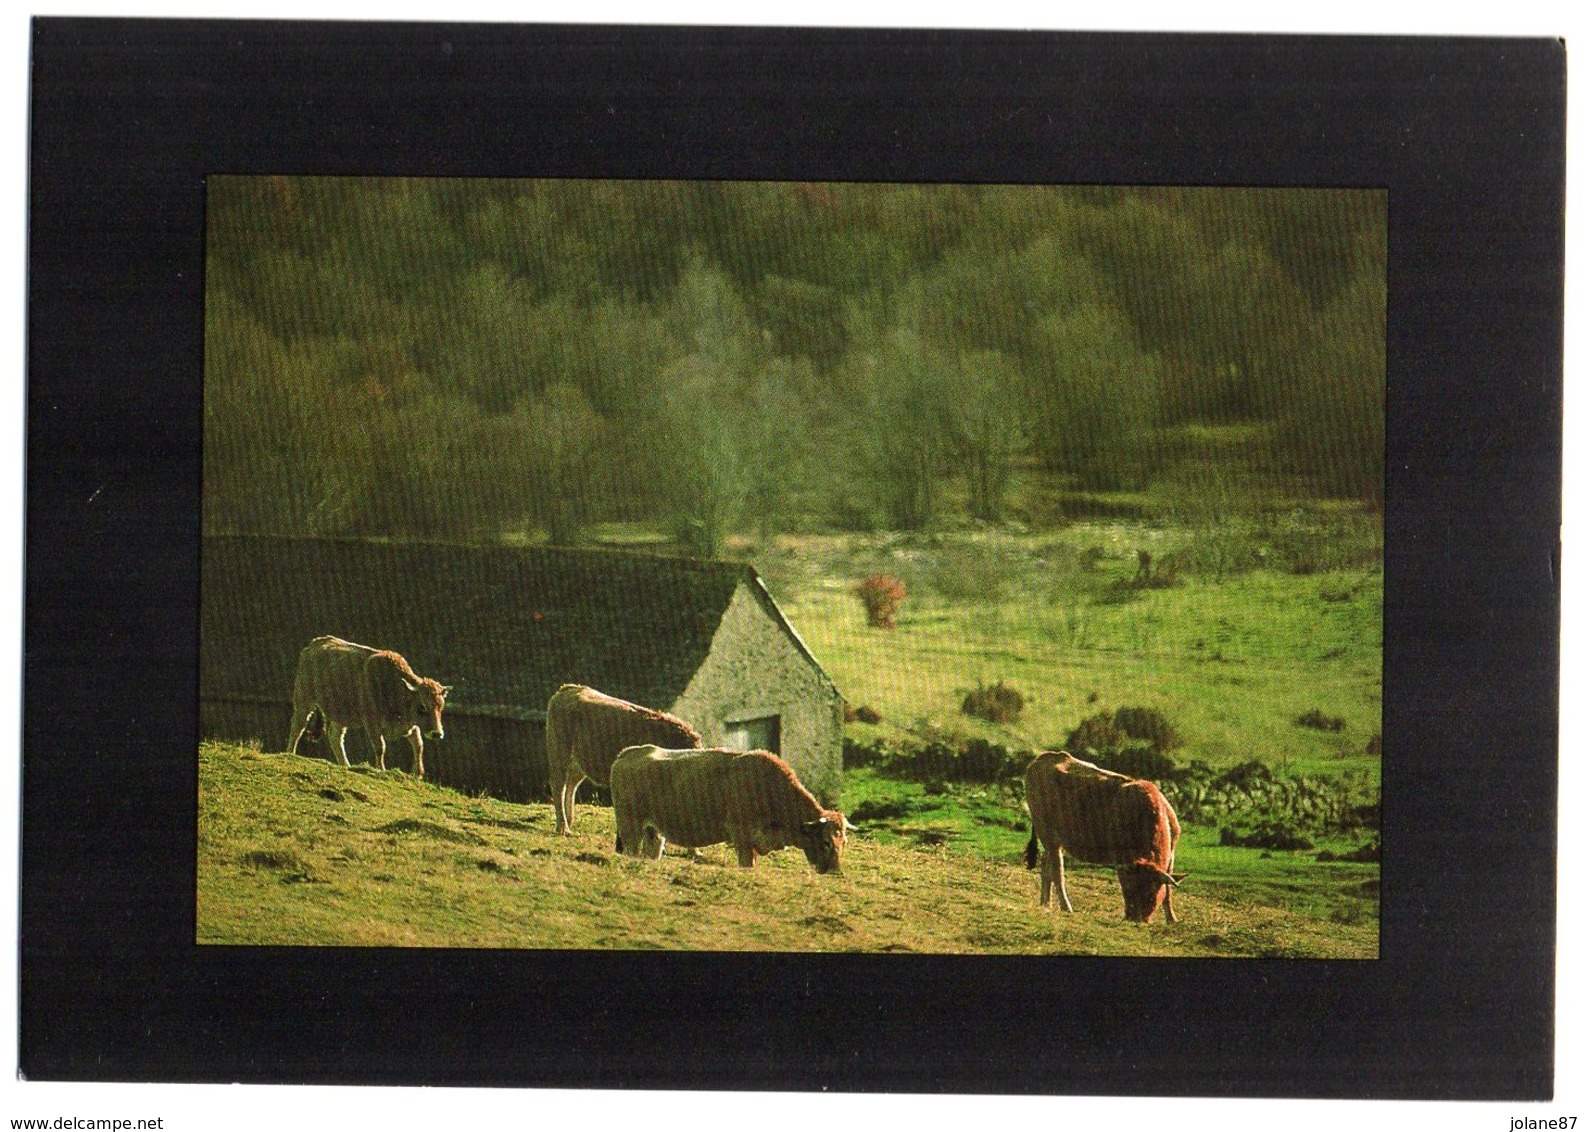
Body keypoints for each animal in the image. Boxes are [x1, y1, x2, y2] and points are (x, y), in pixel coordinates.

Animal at [282, 631, 447, 781]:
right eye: (422, 707)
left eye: (440, 707)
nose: (437, 733)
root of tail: (312, 646)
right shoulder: (371, 723)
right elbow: (381, 747)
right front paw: (381, 770)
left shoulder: (407, 726)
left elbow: (418, 744)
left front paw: (417, 773)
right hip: (304, 702)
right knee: (298, 726)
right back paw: (290, 753)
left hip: (340, 716)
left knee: (335, 737)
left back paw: (346, 765)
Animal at [543, 685, 698, 831]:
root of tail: (568, 688)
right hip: (560, 755)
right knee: (559, 787)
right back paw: (563, 828)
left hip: (578, 765)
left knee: (571, 786)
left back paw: (569, 821)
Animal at [612, 746, 851, 870]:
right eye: (826, 841)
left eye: (844, 841)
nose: (835, 871)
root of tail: (628, 753)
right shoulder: (743, 840)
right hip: (631, 831)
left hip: (654, 835)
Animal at [1022, 746, 1187, 920]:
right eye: (1128, 890)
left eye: (1151, 892)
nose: (1134, 918)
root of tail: (1044, 757)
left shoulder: (1170, 857)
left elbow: (1168, 891)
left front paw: (1172, 919)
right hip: (1047, 835)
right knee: (1056, 872)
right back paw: (1066, 907)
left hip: (1056, 841)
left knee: (1045, 866)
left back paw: (1046, 904)